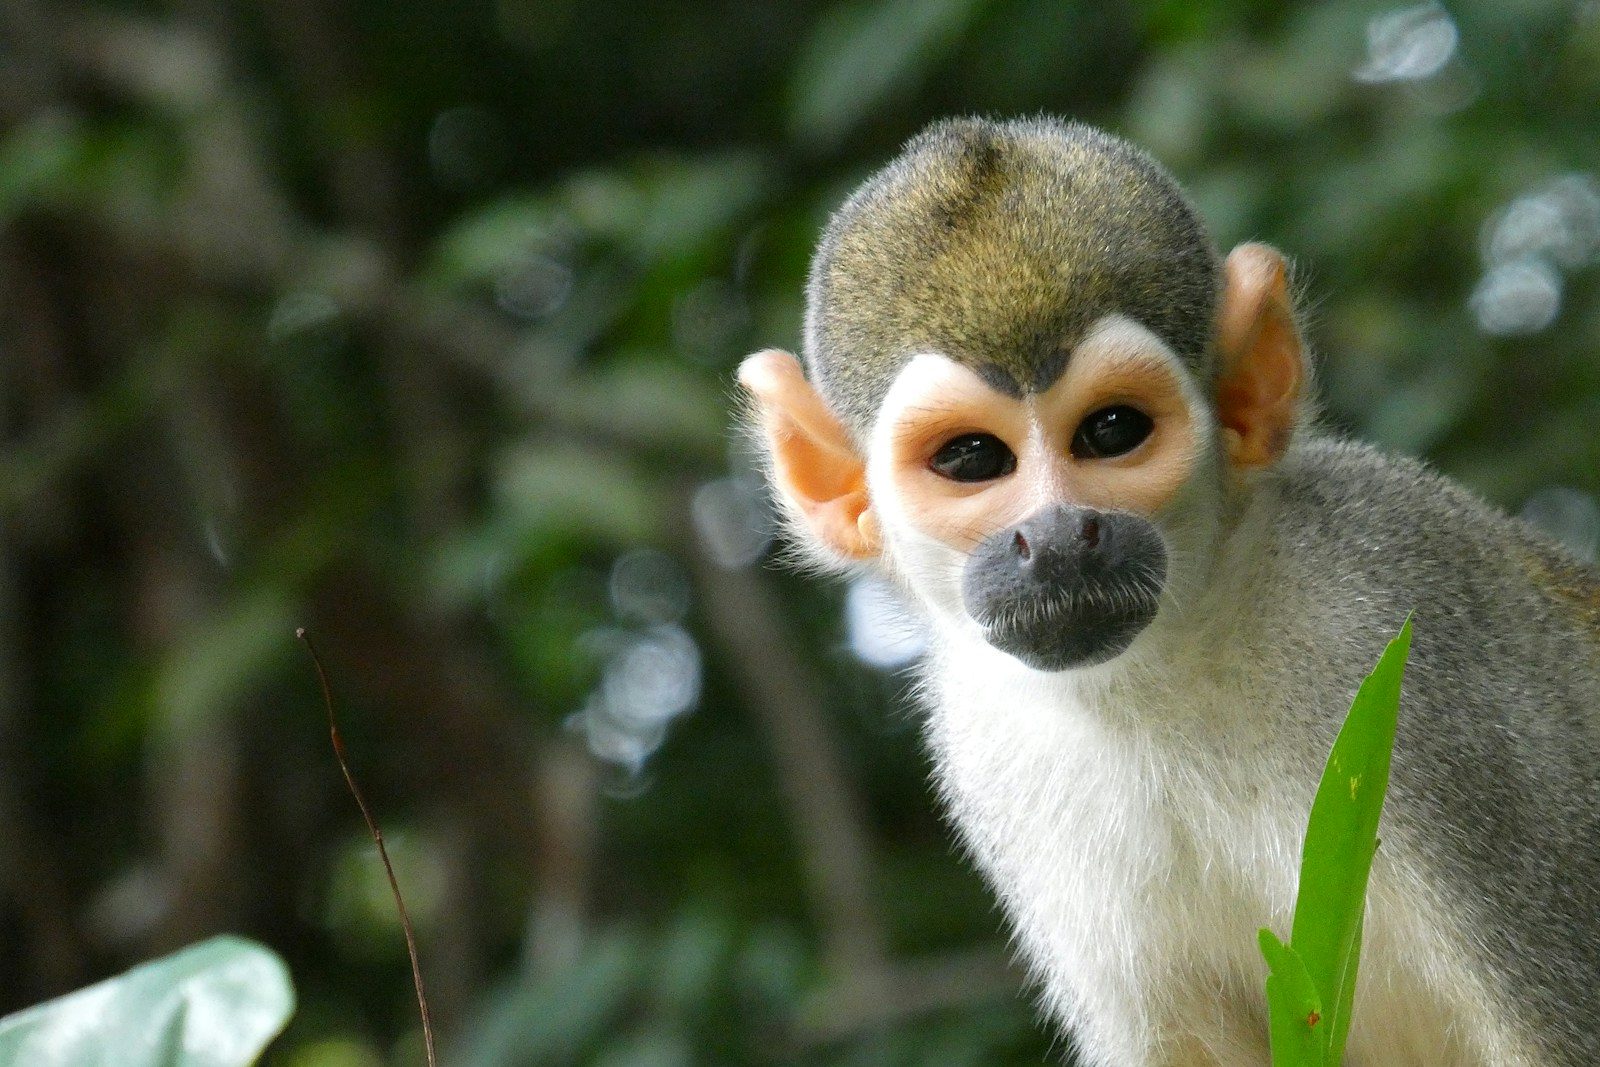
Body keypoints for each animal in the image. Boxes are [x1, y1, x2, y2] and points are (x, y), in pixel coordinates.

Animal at [737, 116, 1600, 1066]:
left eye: (1112, 430)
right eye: (971, 458)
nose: (1057, 536)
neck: (1167, 665)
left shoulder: (1411, 616)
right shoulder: (988, 751)